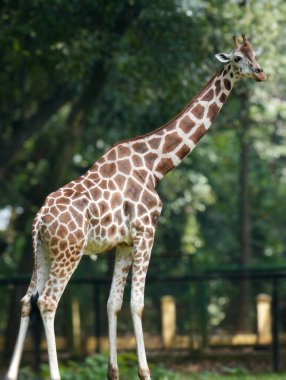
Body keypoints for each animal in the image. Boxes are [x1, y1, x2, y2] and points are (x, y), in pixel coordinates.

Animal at [6, 36, 266, 380]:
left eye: (255, 55)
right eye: (237, 58)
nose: (261, 73)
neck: (156, 164)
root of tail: (38, 220)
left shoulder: (124, 243)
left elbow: (112, 303)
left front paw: (113, 372)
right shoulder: (146, 231)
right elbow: (137, 303)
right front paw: (145, 371)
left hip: (43, 252)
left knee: (26, 300)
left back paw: (11, 373)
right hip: (69, 252)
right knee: (48, 302)